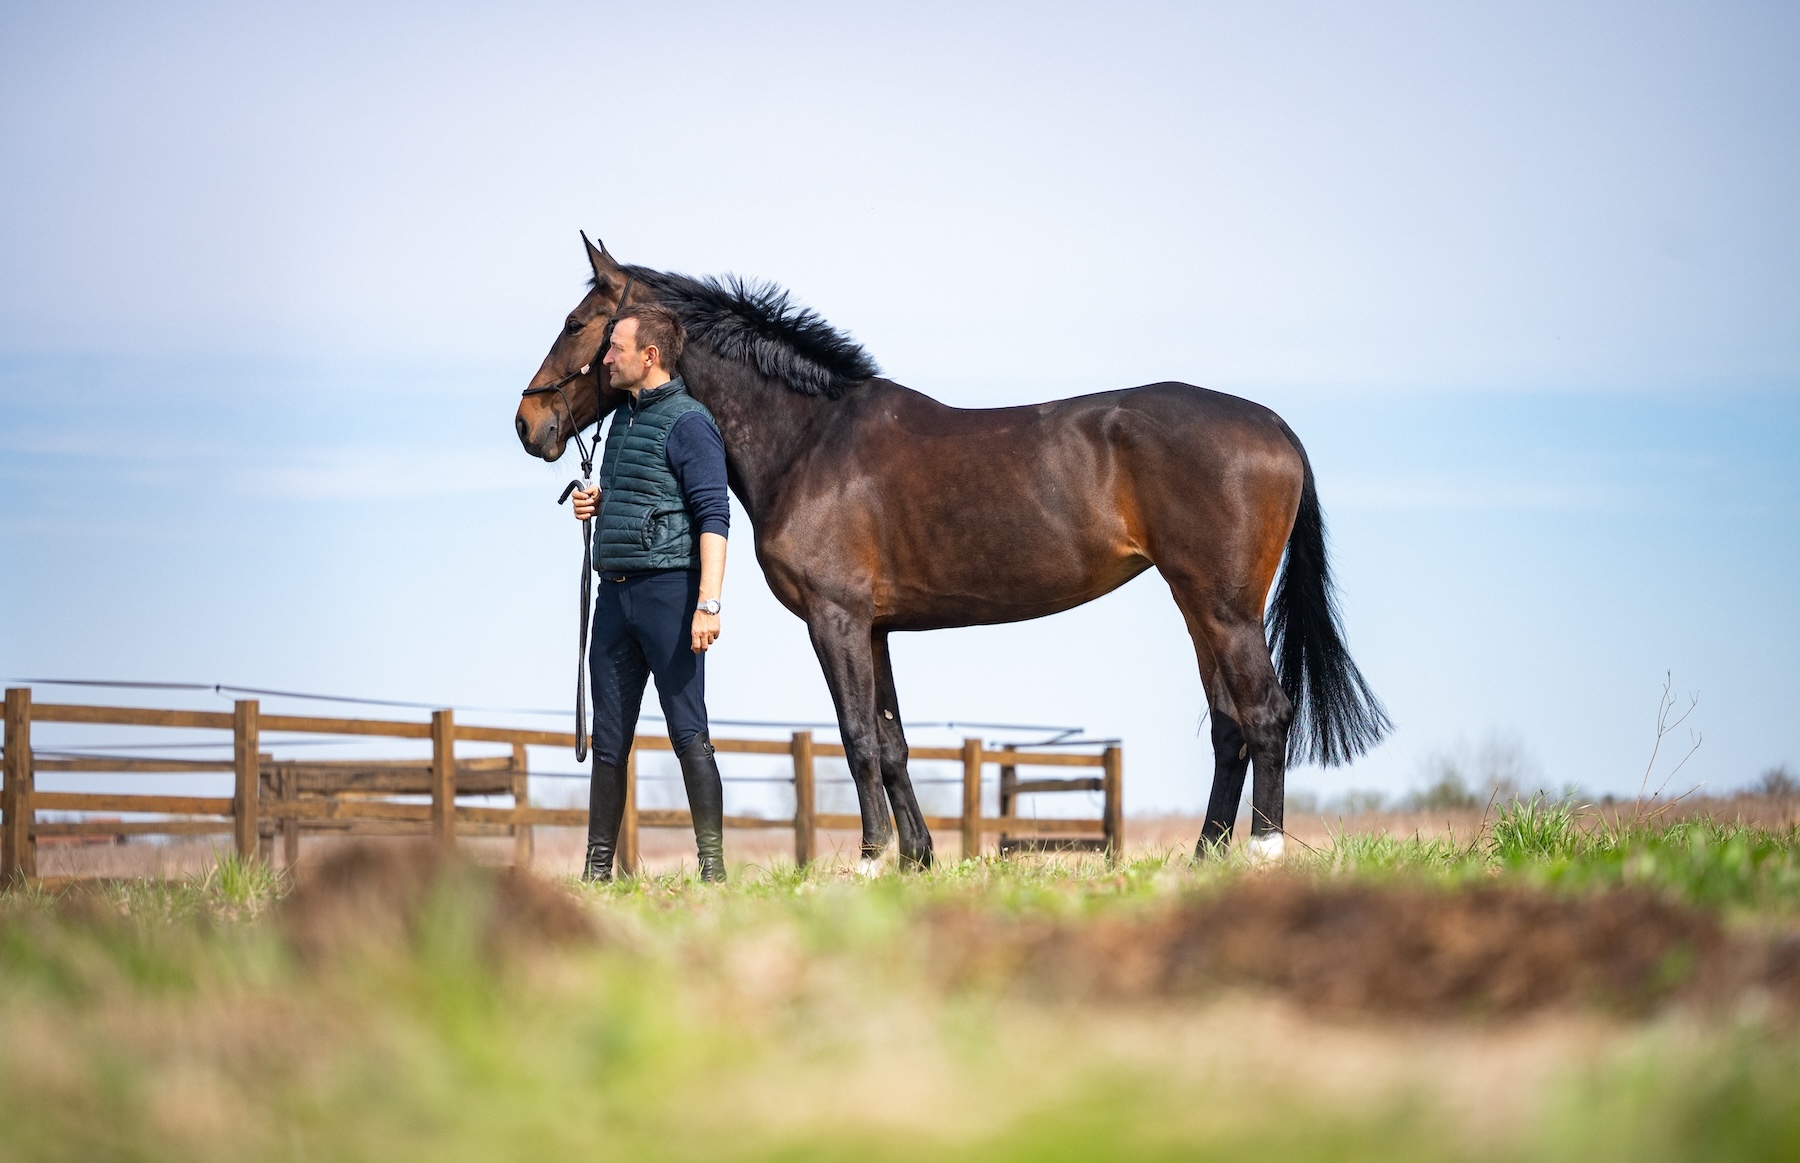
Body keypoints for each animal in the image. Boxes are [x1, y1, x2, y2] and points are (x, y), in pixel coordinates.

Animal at [515, 235, 1390, 869]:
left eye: (575, 323)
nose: (528, 424)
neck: (811, 439)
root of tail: (1273, 426)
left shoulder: (835, 619)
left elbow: (856, 735)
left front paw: (870, 859)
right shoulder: (874, 627)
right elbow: (895, 742)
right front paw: (917, 860)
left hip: (1224, 606)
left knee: (1266, 712)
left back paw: (1263, 852)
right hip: (1198, 604)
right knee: (1230, 724)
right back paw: (1206, 857)